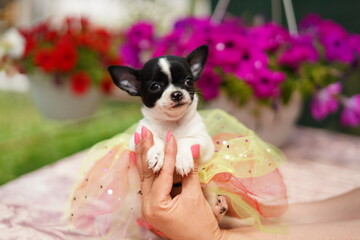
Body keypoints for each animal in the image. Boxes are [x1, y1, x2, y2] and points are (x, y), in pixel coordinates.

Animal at [106, 45, 214, 176]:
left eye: (189, 81)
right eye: (155, 86)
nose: (177, 94)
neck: (172, 122)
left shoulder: (203, 139)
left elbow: (186, 140)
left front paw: (183, 159)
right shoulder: (138, 139)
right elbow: (156, 140)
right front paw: (156, 156)